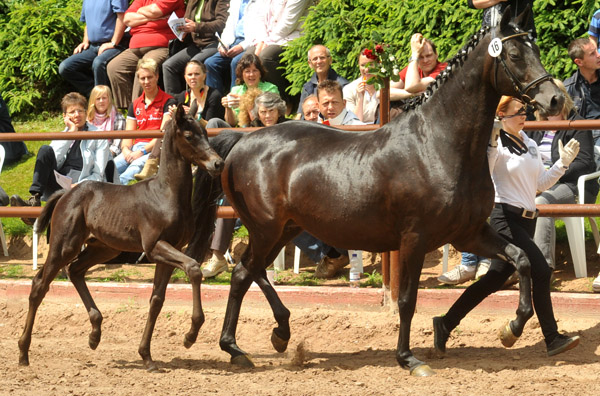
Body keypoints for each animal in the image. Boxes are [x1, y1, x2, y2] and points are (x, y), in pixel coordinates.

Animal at [20, 103, 225, 370]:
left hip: (104, 248)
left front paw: (146, 355)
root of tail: (65, 194)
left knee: (75, 271)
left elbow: (157, 300)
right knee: (40, 285)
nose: (218, 164)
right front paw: (190, 336)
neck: (166, 194)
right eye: (189, 136)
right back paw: (23, 352)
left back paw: (95, 334)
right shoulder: (154, 247)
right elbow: (193, 268)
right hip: (64, 246)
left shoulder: (168, 252)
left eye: (205, 132)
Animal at [189, 7, 568, 376]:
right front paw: (408, 359)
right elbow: (406, 300)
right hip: (266, 229)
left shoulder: (468, 233)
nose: (555, 99)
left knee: (249, 272)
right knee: (243, 274)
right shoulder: (415, 239)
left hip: (285, 229)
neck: (438, 144)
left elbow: (520, 259)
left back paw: (274, 335)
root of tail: (242, 142)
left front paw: (513, 327)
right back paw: (237, 347)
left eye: (535, 49)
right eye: (515, 54)